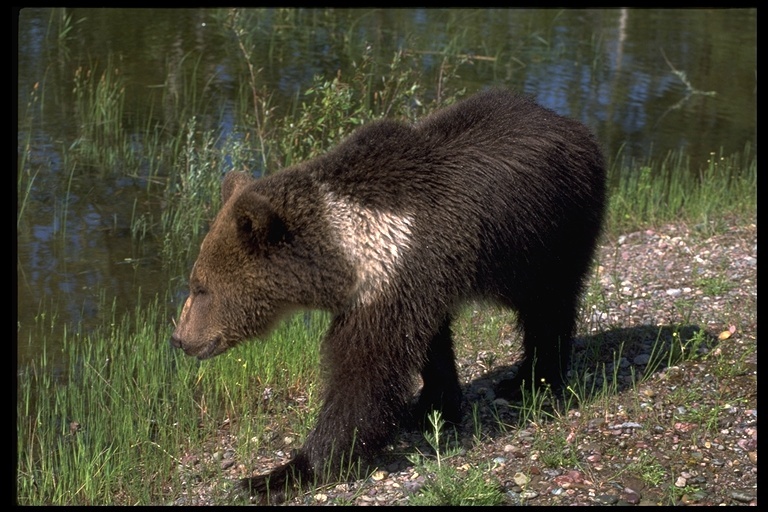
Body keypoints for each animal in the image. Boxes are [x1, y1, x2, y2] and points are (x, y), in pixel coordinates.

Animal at [170, 90, 608, 502]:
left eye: (200, 286)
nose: (179, 338)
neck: (347, 255)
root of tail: (572, 124)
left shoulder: (394, 278)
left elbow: (364, 376)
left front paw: (279, 475)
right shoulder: (416, 283)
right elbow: (430, 346)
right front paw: (432, 407)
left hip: (548, 233)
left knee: (548, 306)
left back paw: (531, 380)